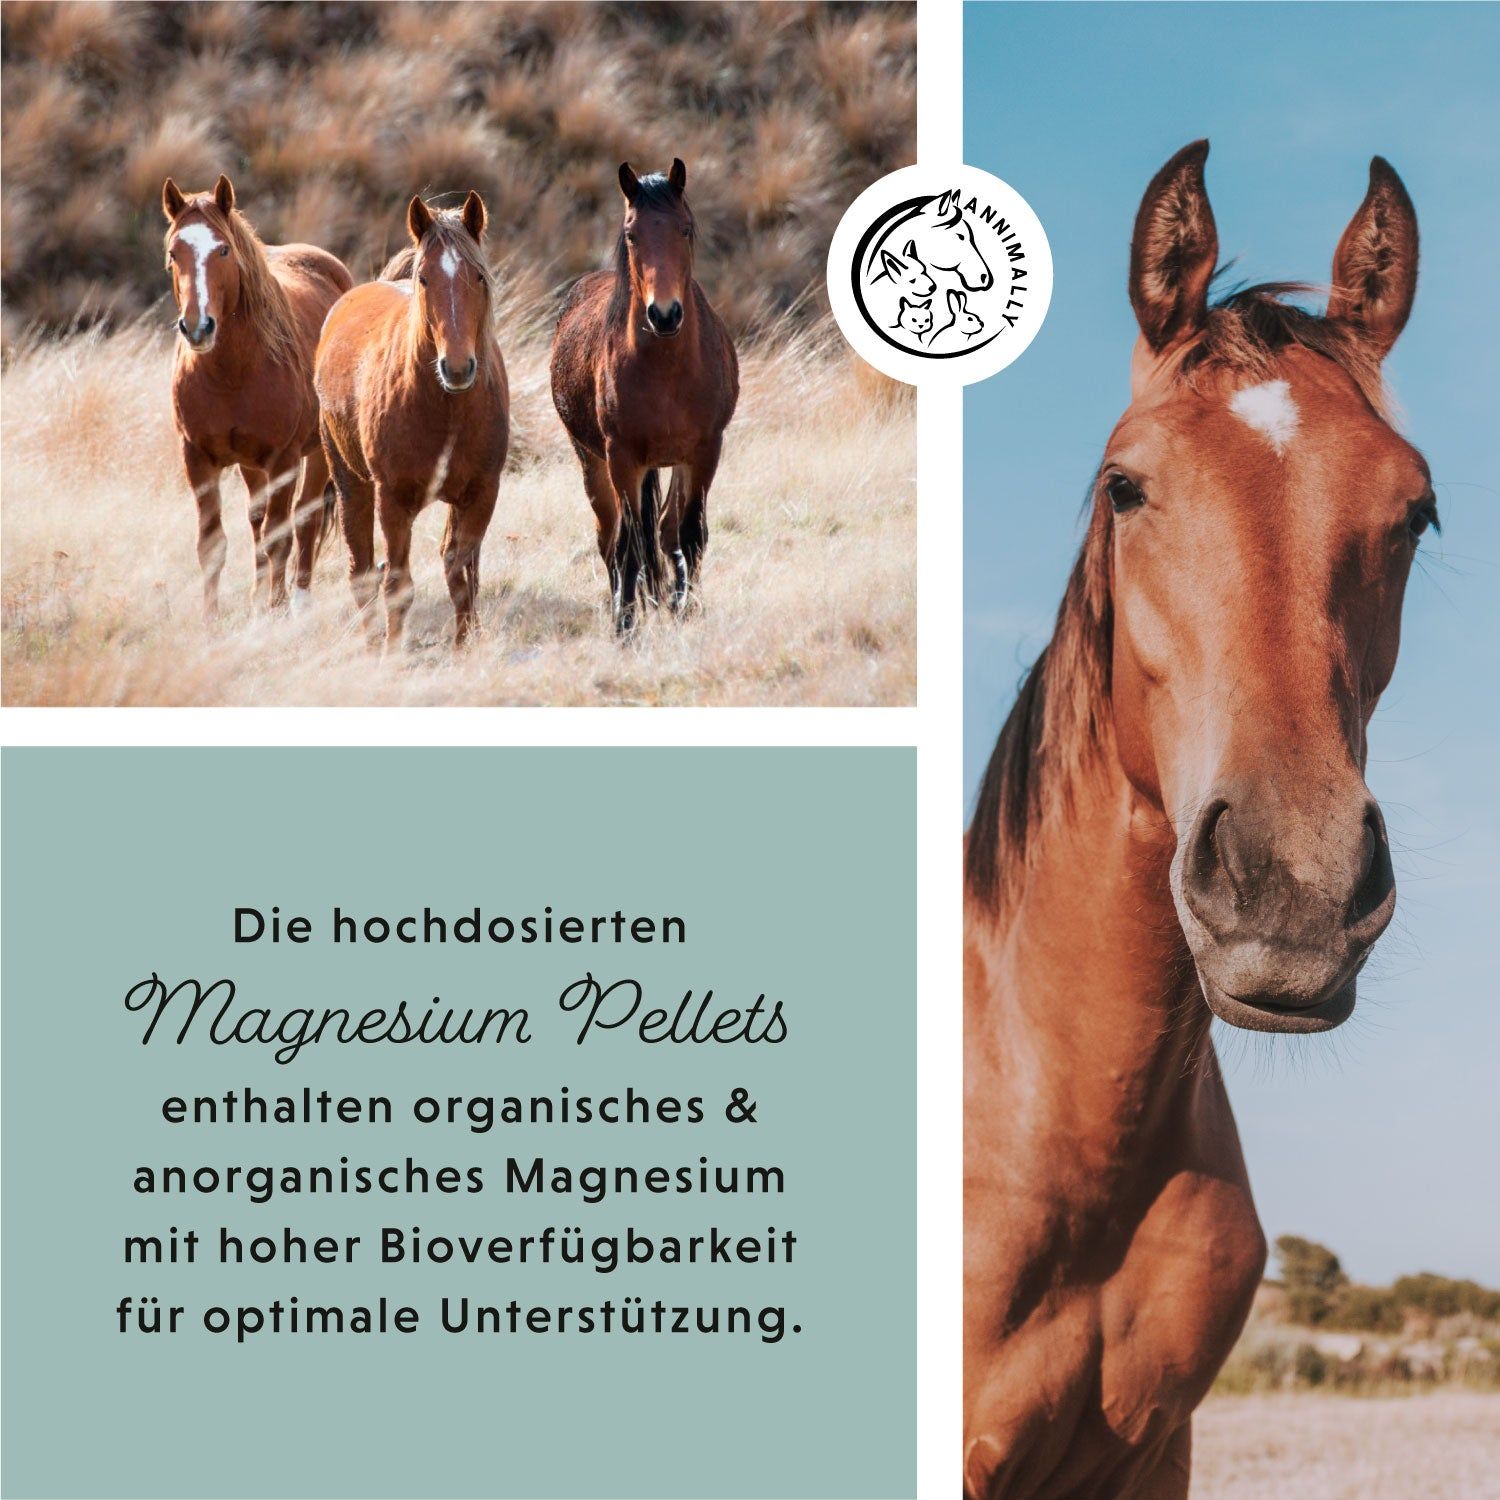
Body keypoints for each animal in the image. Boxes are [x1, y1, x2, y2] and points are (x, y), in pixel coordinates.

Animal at [162, 174, 352, 617]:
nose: (197, 327)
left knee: (304, 519)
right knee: (256, 520)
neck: (232, 373)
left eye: (223, 250)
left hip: (317, 453)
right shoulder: (197, 457)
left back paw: (299, 601)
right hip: (250, 465)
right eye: (174, 253)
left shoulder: (283, 459)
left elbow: (280, 535)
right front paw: (212, 619)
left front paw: (276, 610)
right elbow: (212, 543)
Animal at [314, 191, 509, 651]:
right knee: (363, 571)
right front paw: (391, 654)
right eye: (424, 279)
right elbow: (397, 585)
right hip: (352, 485)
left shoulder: (482, 494)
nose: (457, 367)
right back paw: (371, 645)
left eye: (478, 276)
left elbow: (461, 573)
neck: (447, 409)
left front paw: (464, 646)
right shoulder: (393, 500)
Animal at [550, 157, 738, 633]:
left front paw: (686, 609)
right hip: (592, 461)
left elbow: (689, 534)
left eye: (684, 229)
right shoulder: (622, 458)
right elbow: (631, 543)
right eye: (632, 233)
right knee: (611, 537)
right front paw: (625, 626)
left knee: (667, 529)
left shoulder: (705, 451)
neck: (666, 369)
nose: (665, 314)